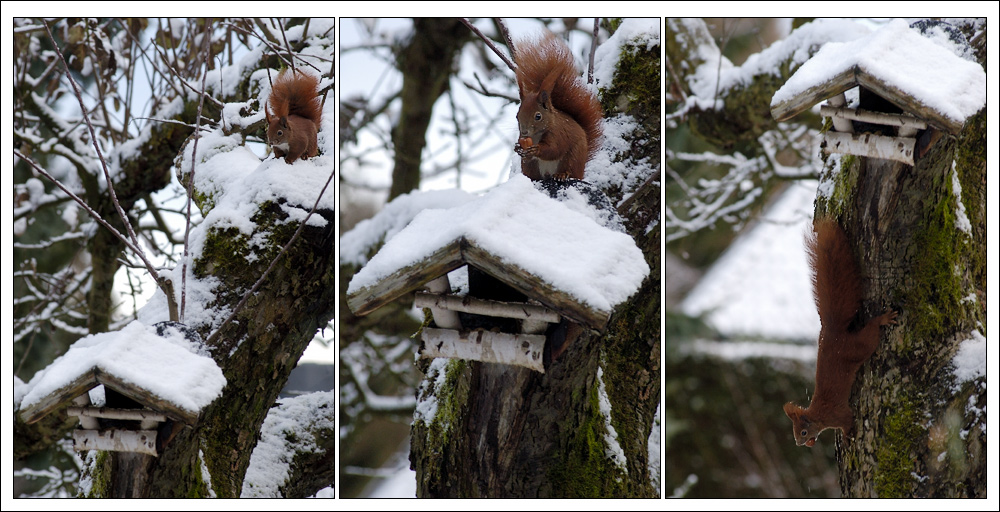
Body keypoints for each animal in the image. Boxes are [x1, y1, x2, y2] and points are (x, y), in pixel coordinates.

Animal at [516, 33, 600, 181]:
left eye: (538, 116)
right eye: (517, 116)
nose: (525, 132)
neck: (536, 135)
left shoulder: (558, 134)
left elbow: (554, 149)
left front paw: (537, 150)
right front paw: (517, 148)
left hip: (572, 158)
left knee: (568, 168)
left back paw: (562, 174)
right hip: (530, 167)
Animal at [784, 218, 904, 446]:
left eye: (802, 432)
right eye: (795, 433)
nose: (799, 444)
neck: (818, 415)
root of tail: (833, 333)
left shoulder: (837, 414)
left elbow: (848, 420)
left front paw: (848, 437)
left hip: (859, 347)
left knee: (871, 332)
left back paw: (883, 319)